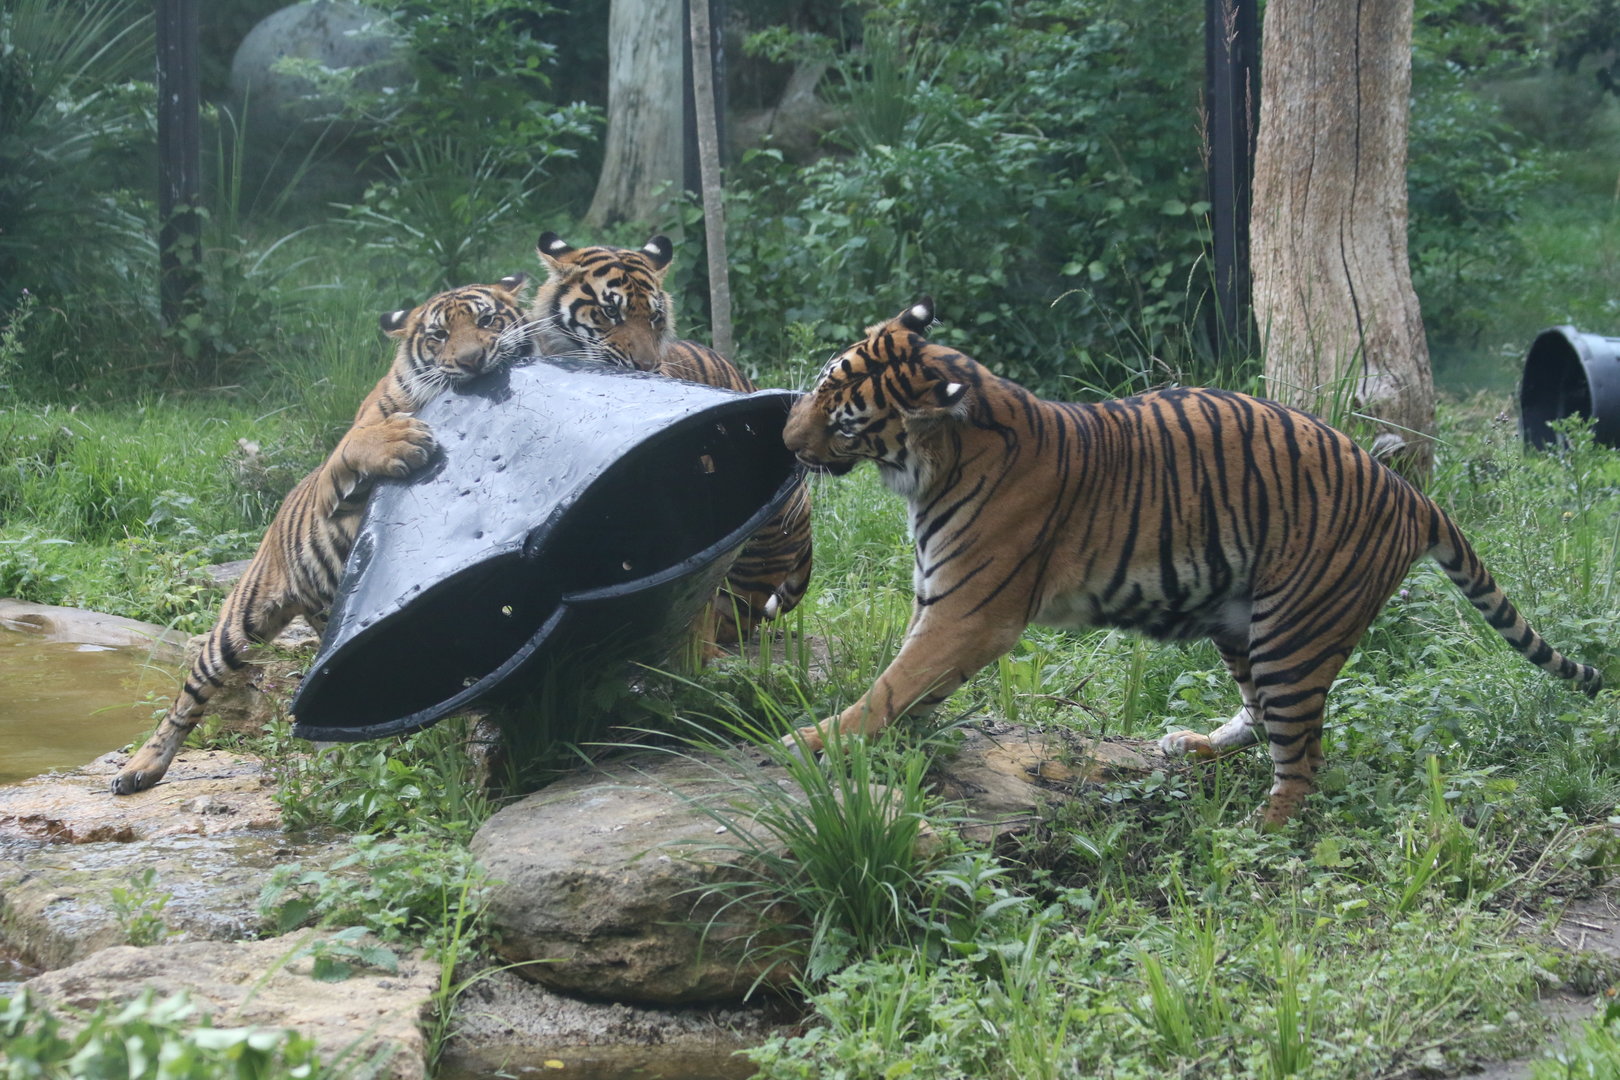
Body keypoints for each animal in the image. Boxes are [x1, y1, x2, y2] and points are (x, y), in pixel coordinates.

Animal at [110, 274, 535, 795]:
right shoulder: (335, 490)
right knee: (185, 701)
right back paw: (140, 767)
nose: (472, 360)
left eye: (487, 320)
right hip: (237, 626)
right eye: (438, 336)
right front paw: (401, 440)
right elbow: (356, 443)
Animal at [781, 296, 1603, 829]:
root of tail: (1408, 491)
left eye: (844, 419)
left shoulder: (968, 612)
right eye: (824, 383)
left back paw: (1260, 833)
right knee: (1265, 716)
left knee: (1303, 755)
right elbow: (910, 687)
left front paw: (813, 743)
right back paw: (1196, 744)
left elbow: (891, 686)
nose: (787, 440)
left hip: (1296, 628)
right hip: (1238, 620)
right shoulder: (943, 605)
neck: (934, 456)